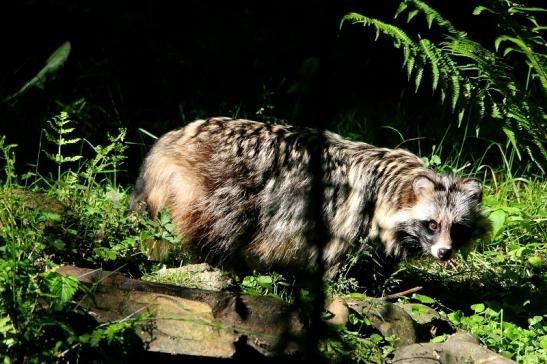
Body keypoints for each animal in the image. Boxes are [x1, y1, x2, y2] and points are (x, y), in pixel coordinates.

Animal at [131, 118, 490, 278]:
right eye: (432, 224)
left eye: (457, 228)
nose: (444, 253)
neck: (393, 185)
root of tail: (171, 141)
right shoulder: (351, 216)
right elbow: (339, 263)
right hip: (215, 189)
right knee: (220, 227)